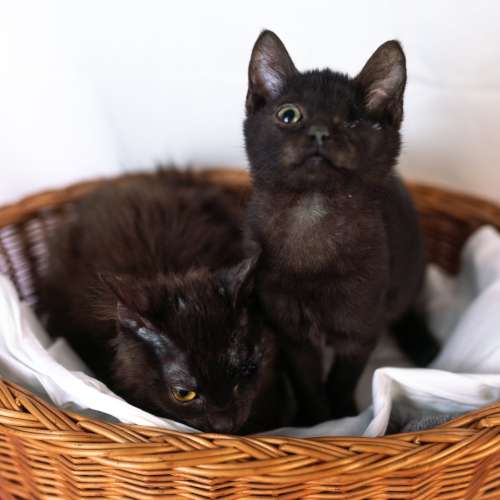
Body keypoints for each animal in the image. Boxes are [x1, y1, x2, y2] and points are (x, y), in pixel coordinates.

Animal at [244, 31, 438, 423]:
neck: (313, 212)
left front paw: (342, 416)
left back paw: (423, 344)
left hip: (410, 268)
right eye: (289, 115)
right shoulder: (292, 333)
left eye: (352, 123)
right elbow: (307, 381)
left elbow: (343, 377)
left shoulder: (361, 329)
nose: (320, 133)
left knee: (408, 304)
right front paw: (315, 419)